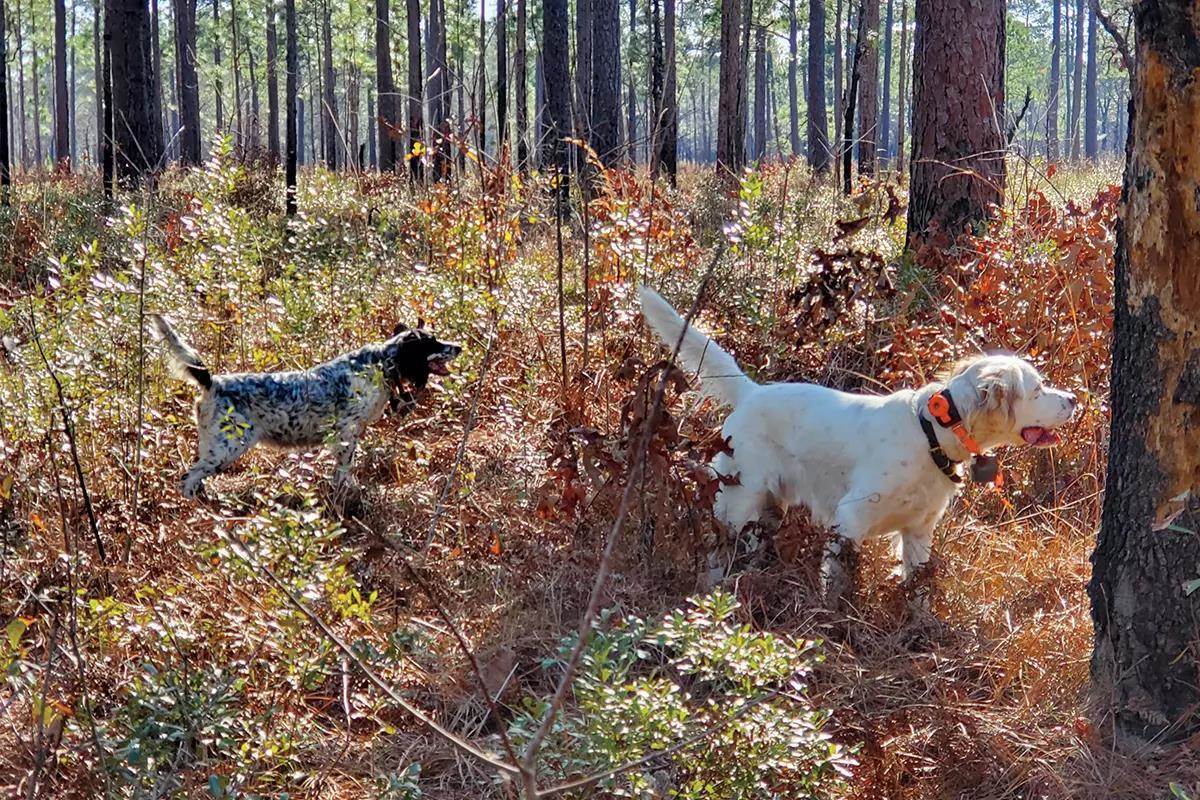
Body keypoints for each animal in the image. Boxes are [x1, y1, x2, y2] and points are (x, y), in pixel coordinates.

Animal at [152, 314, 460, 494]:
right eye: (433, 342)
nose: (459, 346)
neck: (379, 366)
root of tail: (213, 383)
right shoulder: (346, 433)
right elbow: (345, 468)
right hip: (226, 447)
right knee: (188, 478)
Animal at [638, 287, 1080, 606]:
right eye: (1038, 389)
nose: (1074, 399)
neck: (930, 434)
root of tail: (752, 392)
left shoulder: (918, 532)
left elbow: (919, 588)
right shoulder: (849, 518)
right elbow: (837, 582)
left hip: (767, 511)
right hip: (738, 501)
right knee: (716, 553)